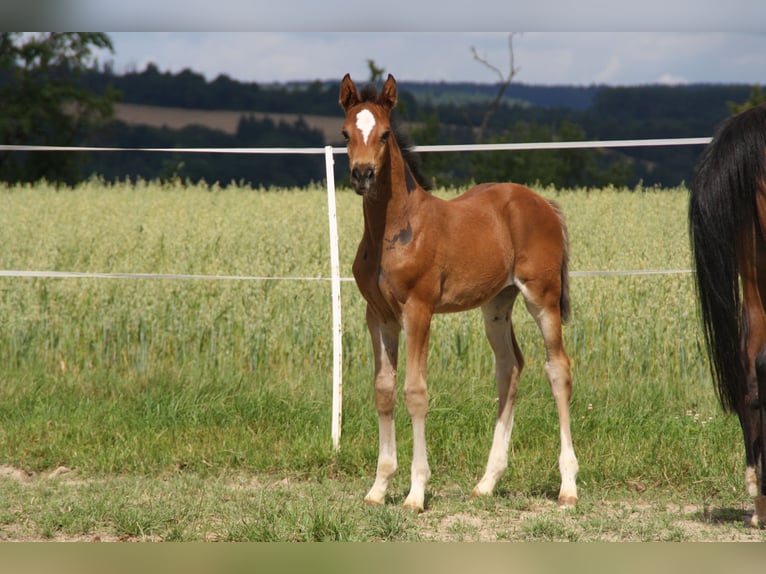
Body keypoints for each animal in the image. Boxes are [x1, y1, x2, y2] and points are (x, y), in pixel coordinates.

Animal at [340, 73, 580, 512]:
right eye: (346, 133)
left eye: (384, 134)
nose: (362, 174)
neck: (394, 229)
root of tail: (543, 203)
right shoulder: (378, 315)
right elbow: (383, 390)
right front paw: (378, 488)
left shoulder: (418, 310)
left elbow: (415, 391)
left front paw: (416, 493)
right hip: (497, 304)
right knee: (510, 367)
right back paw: (487, 482)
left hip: (542, 297)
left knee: (558, 369)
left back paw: (568, 486)